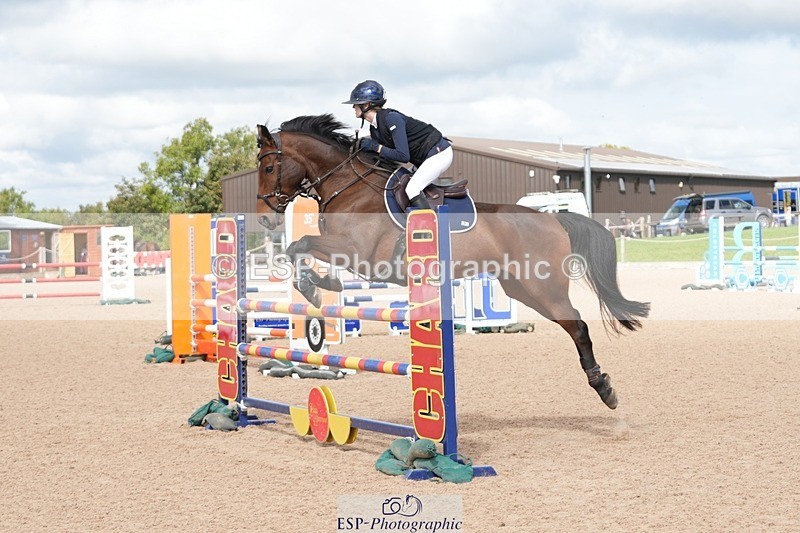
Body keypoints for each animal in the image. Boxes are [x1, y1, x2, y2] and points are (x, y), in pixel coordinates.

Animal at [255, 114, 650, 409]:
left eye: (270, 167)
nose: (264, 219)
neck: (347, 185)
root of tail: (554, 219)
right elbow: (299, 249)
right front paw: (319, 286)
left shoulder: (358, 251)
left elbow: (302, 243)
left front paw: (316, 289)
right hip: (520, 287)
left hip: (543, 287)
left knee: (578, 326)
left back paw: (605, 389)